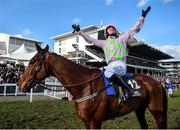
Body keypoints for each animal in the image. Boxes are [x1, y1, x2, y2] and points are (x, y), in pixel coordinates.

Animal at [17, 43, 167, 129]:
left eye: (33, 62)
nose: (19, 83)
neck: (85, 87)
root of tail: (157, 81)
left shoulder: (95, 121)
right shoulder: (86, 121)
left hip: (157, 111)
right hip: (139, 109)